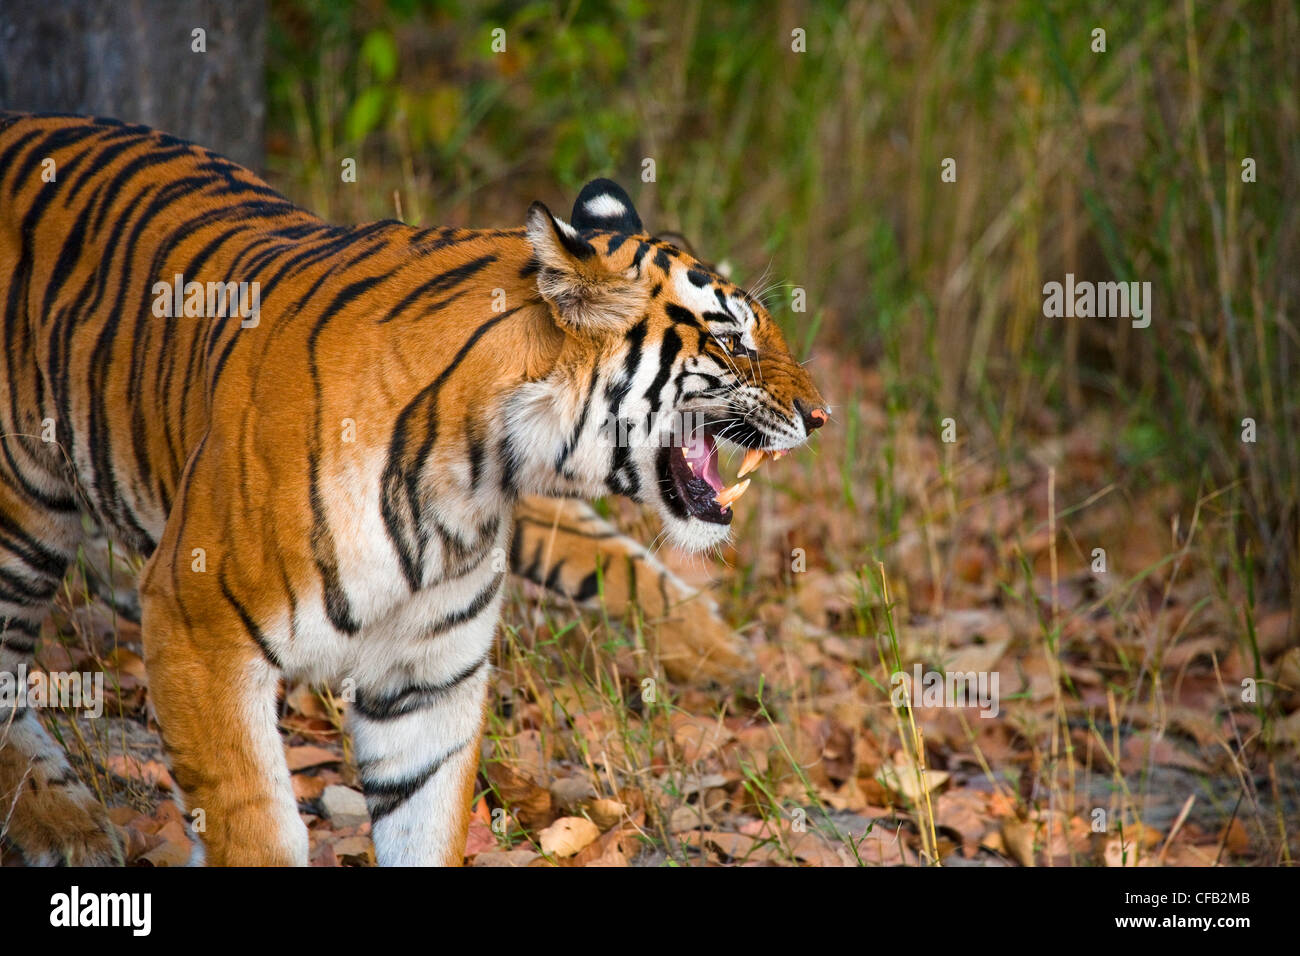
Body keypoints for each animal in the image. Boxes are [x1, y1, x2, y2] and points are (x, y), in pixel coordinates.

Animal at [0, 111, 826, 868]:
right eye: (733, 340)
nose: (821, 416)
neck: (475, 477)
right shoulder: (195, 622)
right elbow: (255, 825)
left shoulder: (429, 678)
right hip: (23, 512)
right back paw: (67, 828)